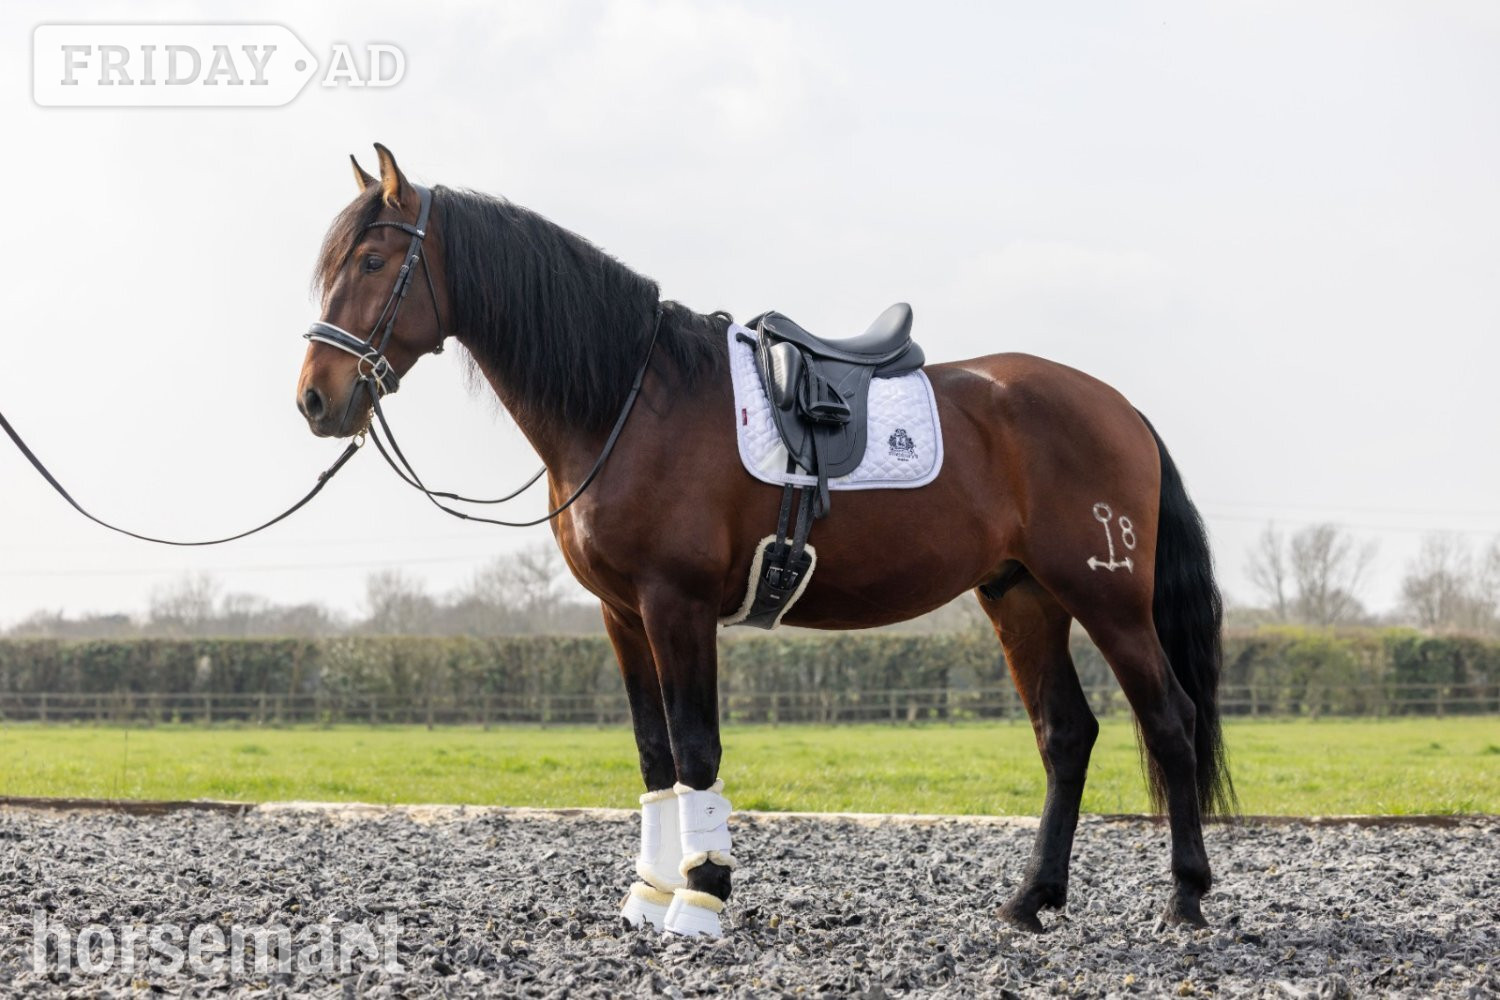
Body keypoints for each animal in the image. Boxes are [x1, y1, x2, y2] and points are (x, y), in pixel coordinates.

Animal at [296, 144, 1233, 938]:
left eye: (373, 262)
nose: (315, 397)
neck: (632, 400)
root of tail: (1118, 406)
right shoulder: (621, 615)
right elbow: (654, 754)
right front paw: (649, 896)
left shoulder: (675, 606)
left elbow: (696, 746)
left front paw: (702, 899)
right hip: (1021, 595)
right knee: (1065, 735)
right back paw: (1031, 899)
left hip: (1106, 596)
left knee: (1171, 718)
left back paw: (1185, 898)